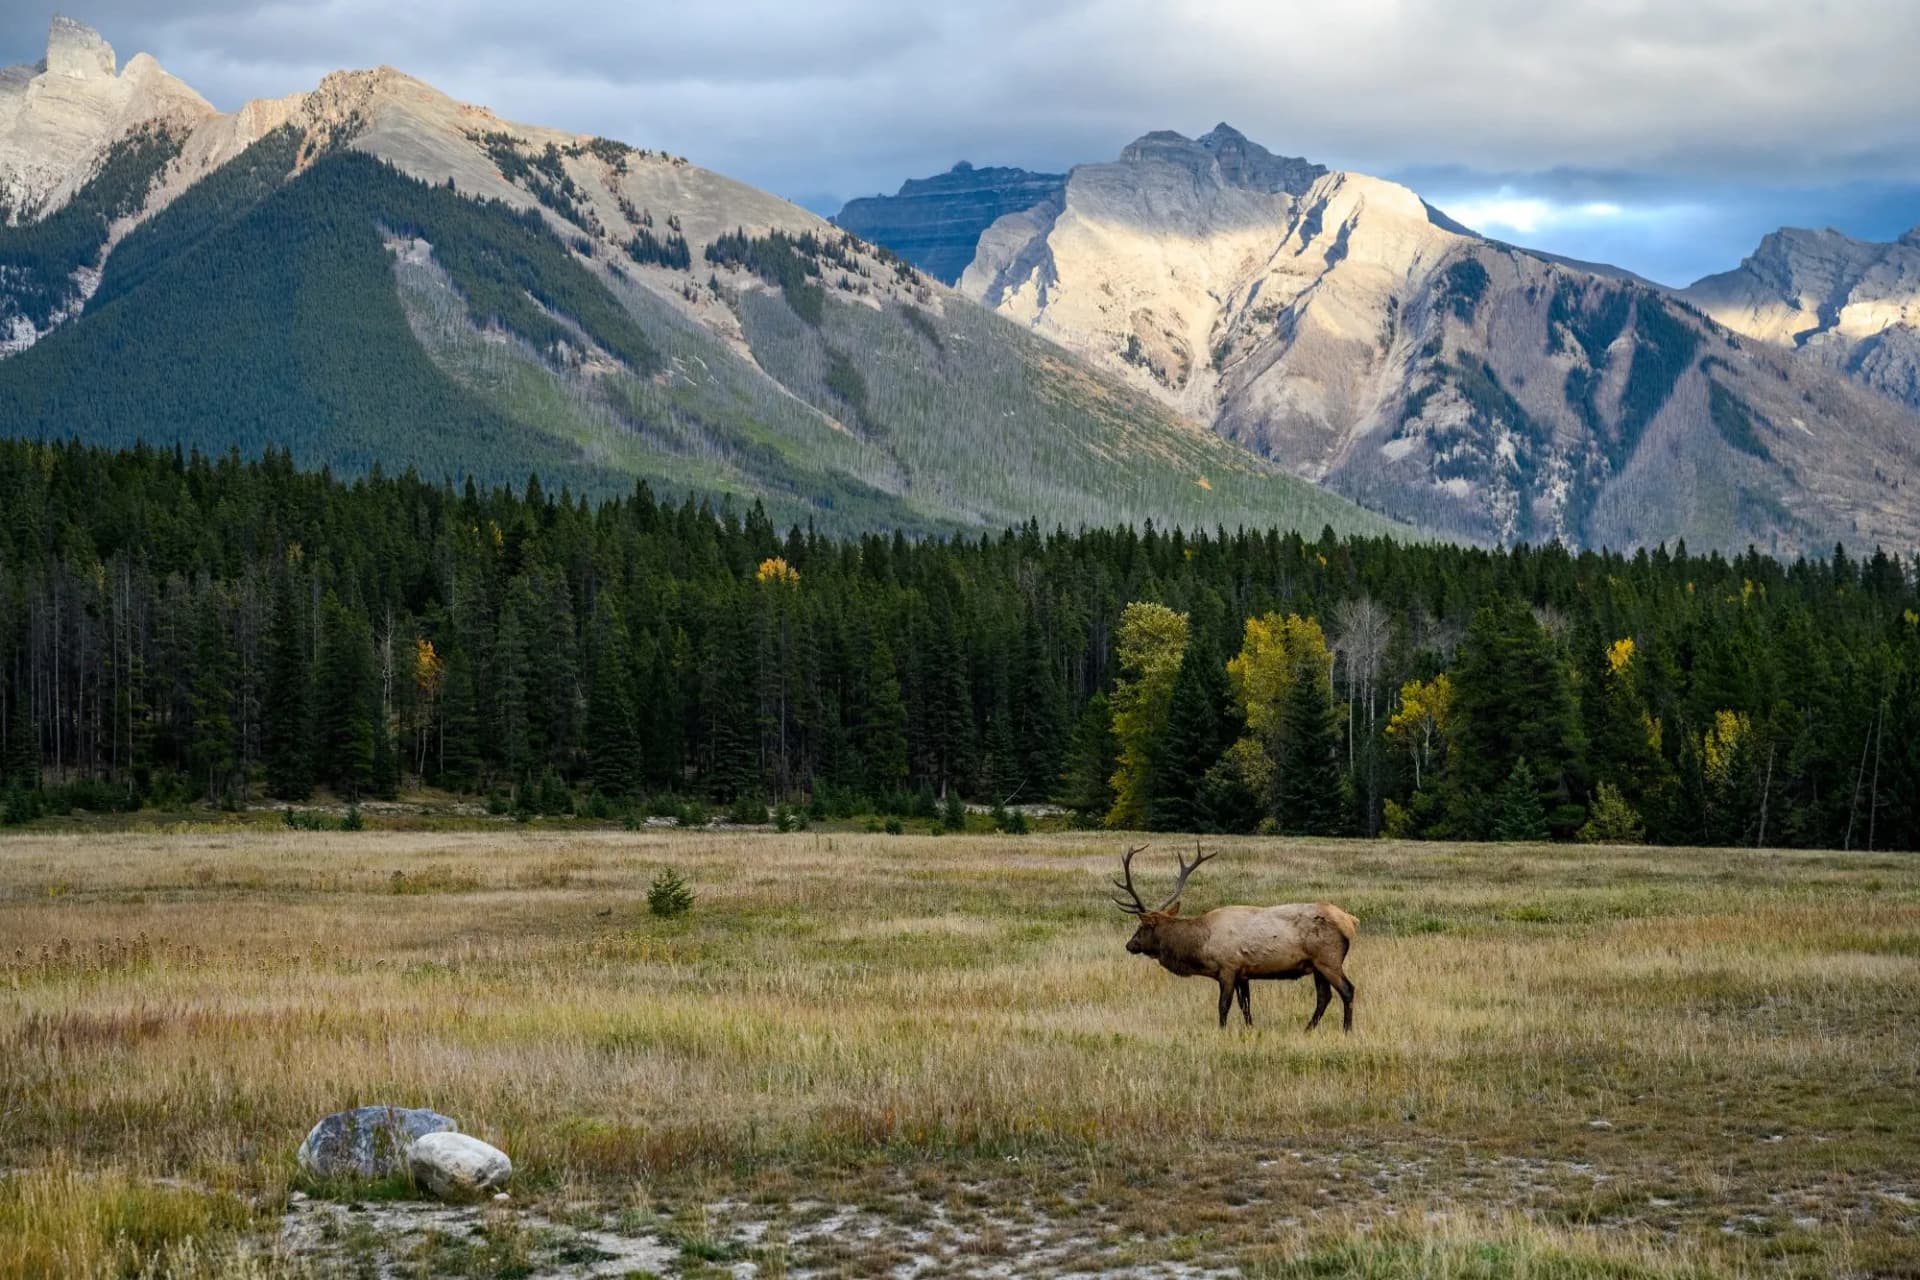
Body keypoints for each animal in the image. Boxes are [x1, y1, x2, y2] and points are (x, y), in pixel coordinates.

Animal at [1112, 844, 1358, 1032]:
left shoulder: (1228, 968)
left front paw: (1221, 1030)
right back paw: (1308, 1029)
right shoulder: (1243, 973)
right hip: (1316, 965)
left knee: (1347, 990)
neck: (1201, 946)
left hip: (1328, 959)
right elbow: (1246, 1006)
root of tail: (1350, 921)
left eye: (1142, 927)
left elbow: (1224, 1005)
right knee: (1324, 996)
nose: (1129, 945)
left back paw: (1346, 1030)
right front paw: (1250, 1029)